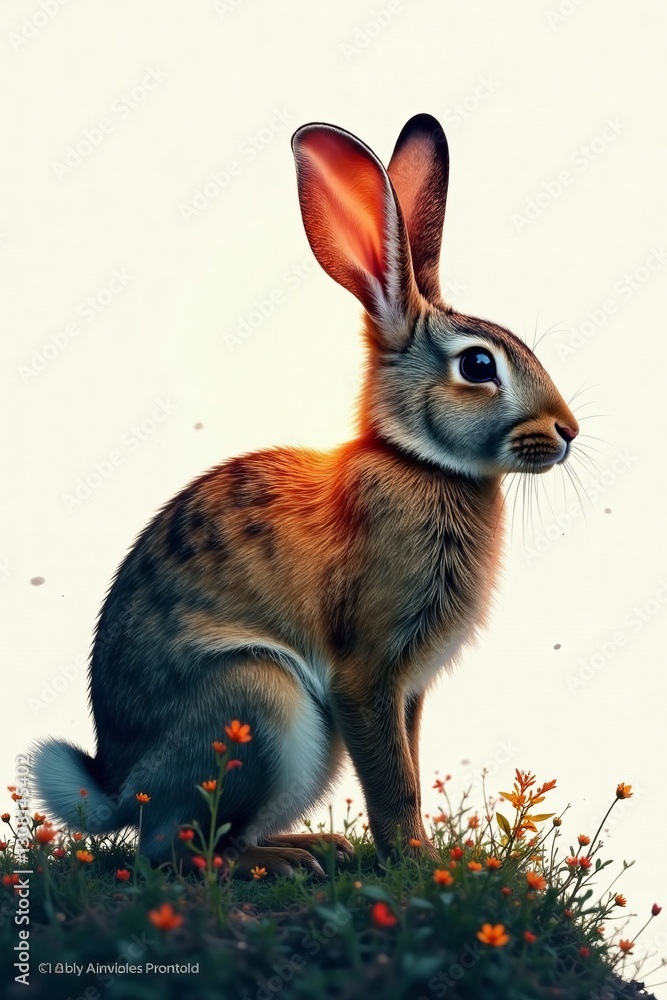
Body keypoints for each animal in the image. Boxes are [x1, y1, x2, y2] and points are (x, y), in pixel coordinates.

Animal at [33, 114, 579, 878]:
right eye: (478, 365)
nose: (566, 433)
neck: (418, 462)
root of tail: (121, 791)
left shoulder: (408, 688)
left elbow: (409, 762)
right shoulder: (369, 671)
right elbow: (393, 780)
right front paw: (413, 863)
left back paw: (308, 847)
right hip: (260, 704)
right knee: (175, 850)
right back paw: (277, 864)